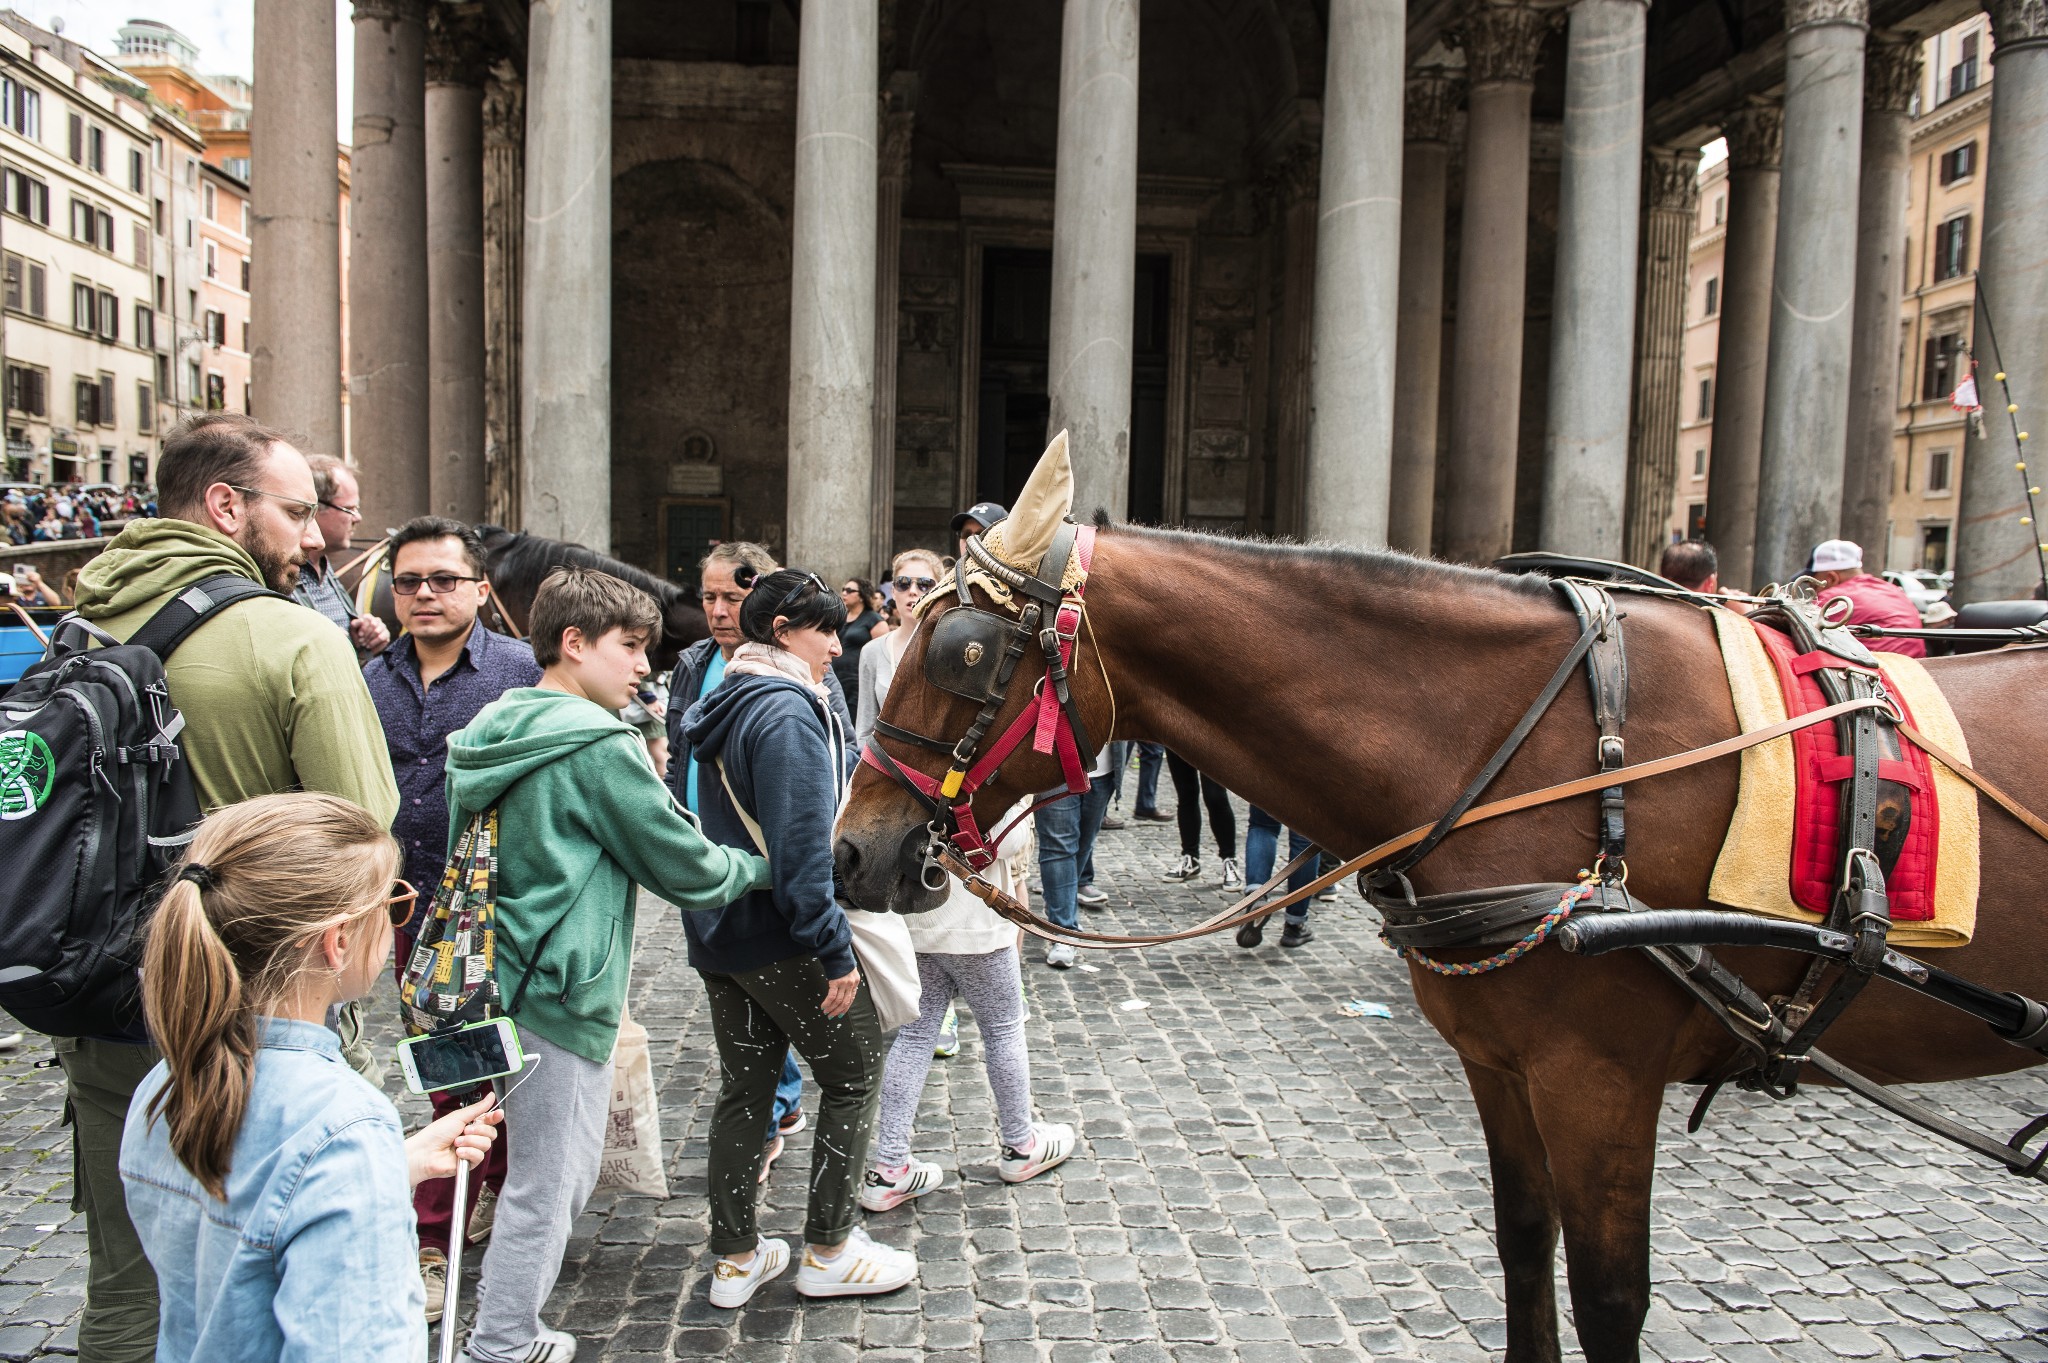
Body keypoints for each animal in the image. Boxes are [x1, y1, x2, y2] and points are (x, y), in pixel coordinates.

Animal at [831, 515, 2048, 1358]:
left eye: (964, 654)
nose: (849, 852)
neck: (1552, 753)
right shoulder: (1504, 1066)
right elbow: (1520, 1249)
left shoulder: (1600, 1079)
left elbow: (1610, 1298)